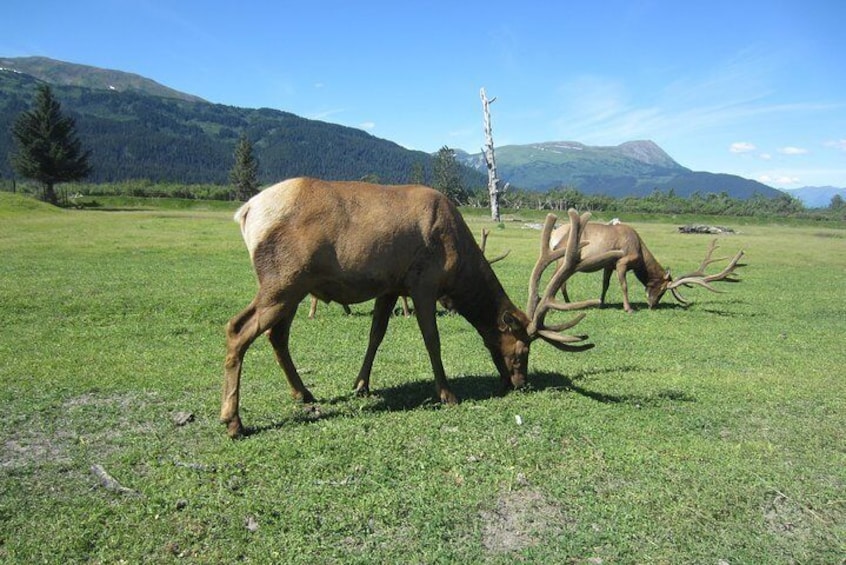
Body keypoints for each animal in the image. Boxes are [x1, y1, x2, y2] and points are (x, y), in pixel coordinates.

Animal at [219, 176, 620, 436]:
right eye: (522, 351)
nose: (520, 383)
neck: (459, 268)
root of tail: (247, 212)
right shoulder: (424, 283)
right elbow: (432, 340)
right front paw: (447, 394)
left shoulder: (390, 285)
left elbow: (376, 335)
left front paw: (361, 384)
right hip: (283, 279)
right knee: (238, 328)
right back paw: (233, 421)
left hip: (295, 286)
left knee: (277, 335)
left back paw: (303, 393)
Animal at [548, 219, 744, 310]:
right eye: (663, 289)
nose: (653, 304)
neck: (641, 255)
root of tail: (555, 238)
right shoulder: (622, 261)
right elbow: (624, 285)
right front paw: (628, 308)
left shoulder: (608, 264)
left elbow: (605, 284)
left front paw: (601, 303)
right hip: (562, 259)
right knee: (556, 279)